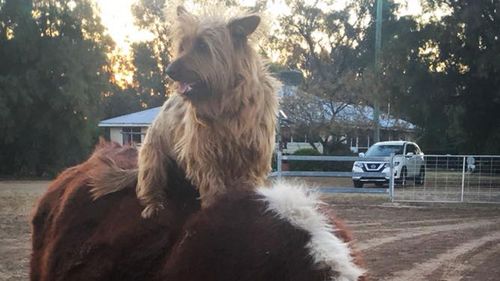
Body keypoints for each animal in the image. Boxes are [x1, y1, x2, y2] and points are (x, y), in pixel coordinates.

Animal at [92, 6, 280, 217]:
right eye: (182, 46)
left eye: (203, 46)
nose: (169, 70)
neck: (226, 103)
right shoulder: (204, 153)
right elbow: (212, 187)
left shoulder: (252, 155)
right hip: (152, 160)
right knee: (149, 187)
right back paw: (153, 206)